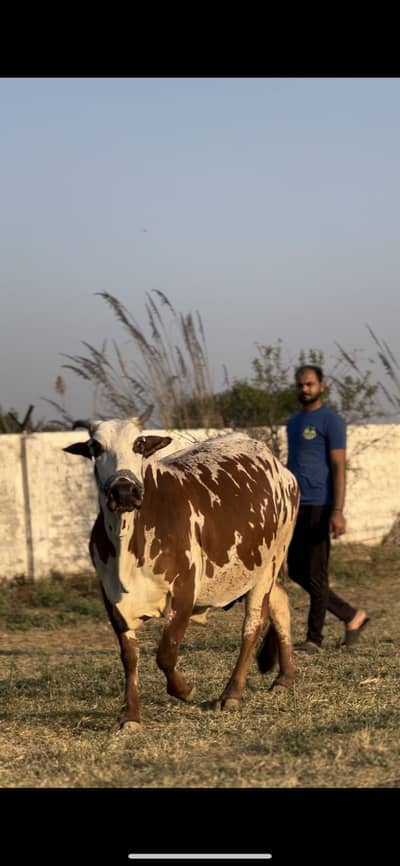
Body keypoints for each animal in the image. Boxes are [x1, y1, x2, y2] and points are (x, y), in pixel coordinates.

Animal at [64, 419, 300, 732]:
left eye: (139, 444)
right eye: (95, 447)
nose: (124, 491)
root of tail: (277, 465)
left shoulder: (184, 592)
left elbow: (166, 653)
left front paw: (185, 690)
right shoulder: (112, 599)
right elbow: (129, 656)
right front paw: (130, 715)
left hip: (269, 566)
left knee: (253, 625)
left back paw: (232, 693)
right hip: (259, 572)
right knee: (280, 604)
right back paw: (285, 678)